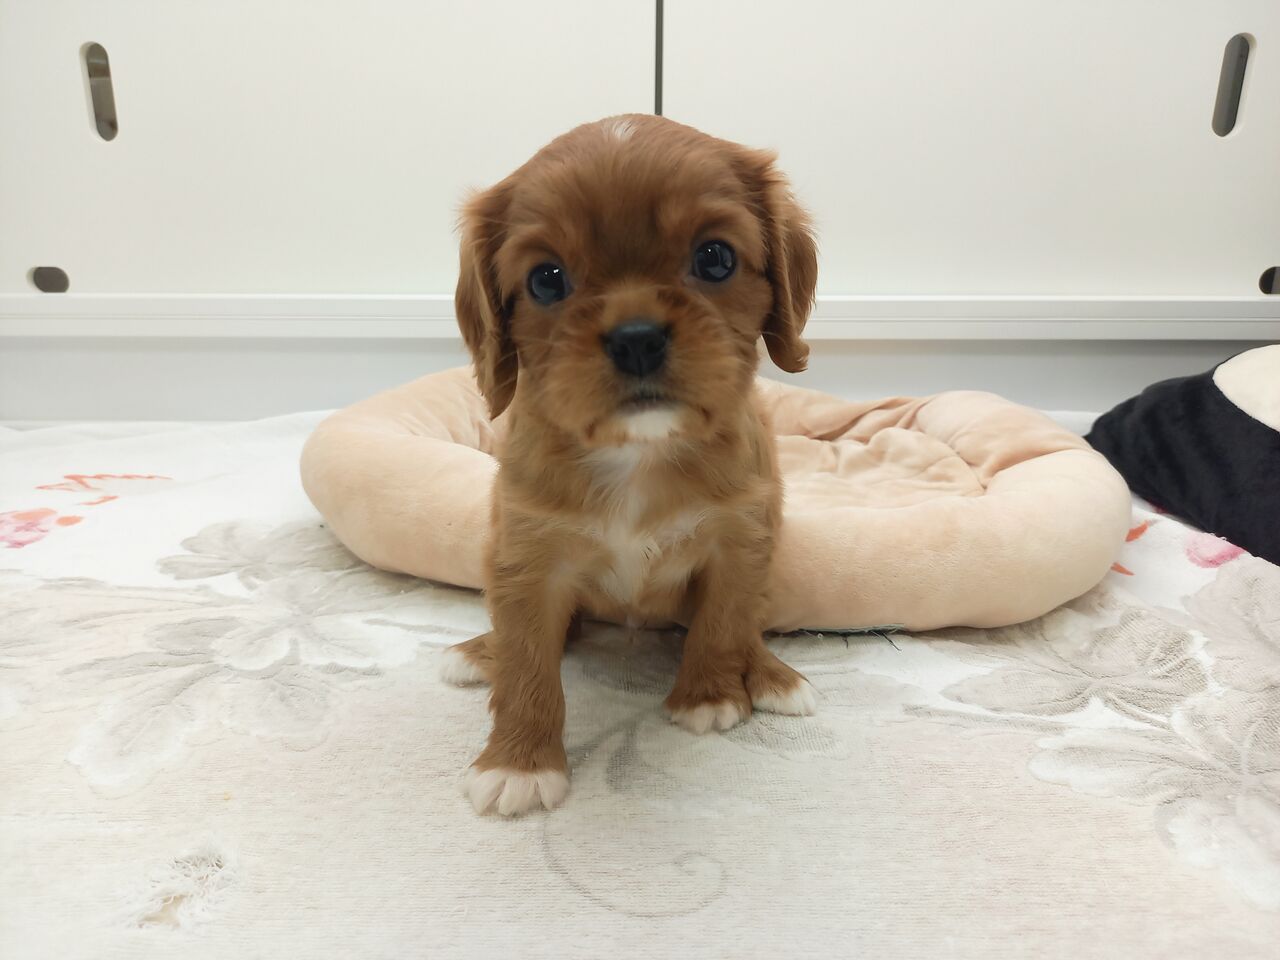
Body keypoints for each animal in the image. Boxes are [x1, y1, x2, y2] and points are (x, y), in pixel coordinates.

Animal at [442, 114, 819, 816]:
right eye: (546, 279)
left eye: (715, 258)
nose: (637, 337)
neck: (638, 452)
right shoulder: (527, 560)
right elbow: (528, 662)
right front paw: (518, 763)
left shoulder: (740, 539)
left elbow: (724, 621)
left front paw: (708, 696)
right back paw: (480, 651)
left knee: (748, 626)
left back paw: (772, 675)